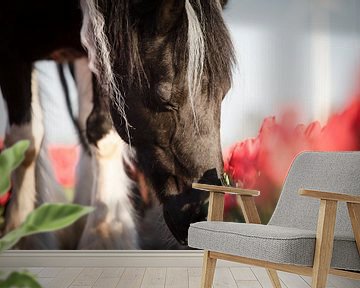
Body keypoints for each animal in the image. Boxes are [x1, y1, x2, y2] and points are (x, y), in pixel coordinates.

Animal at [0, 0, 233, 248]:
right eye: (164, 99)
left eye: (225, 91)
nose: (204, 211)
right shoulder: (10, 47)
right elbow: (25, 141)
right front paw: (22, 233)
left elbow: (100, 130)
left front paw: (105, 234)